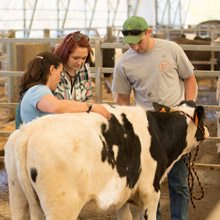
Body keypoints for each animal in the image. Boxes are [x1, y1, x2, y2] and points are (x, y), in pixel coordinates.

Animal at [4, 100, 209, 219]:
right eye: (204, 118)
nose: (207, 131)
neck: (158, 133)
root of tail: (28, 131)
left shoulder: (124, 194)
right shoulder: (151, 193)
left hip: (18, 199)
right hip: (60, 207)